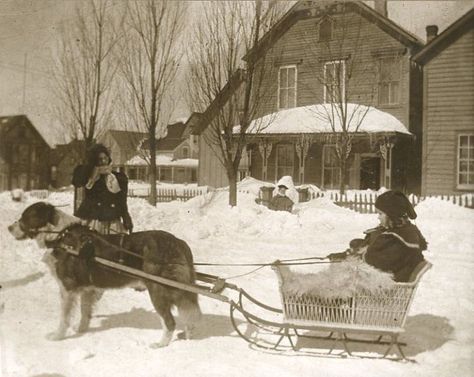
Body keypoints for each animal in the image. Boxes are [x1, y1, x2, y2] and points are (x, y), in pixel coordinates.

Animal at [7, 203, 200, 346]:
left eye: (25, 217)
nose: (9, 227)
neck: (61, 236)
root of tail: (178, 241)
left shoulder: (67, 288)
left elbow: (64, 317)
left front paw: (57, 336)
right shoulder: (87, 289)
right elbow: (85, 312)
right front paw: (81, 330)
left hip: (158, 290)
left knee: (170, 321)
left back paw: (161, 344)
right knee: (189, 312)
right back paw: (189, 336)